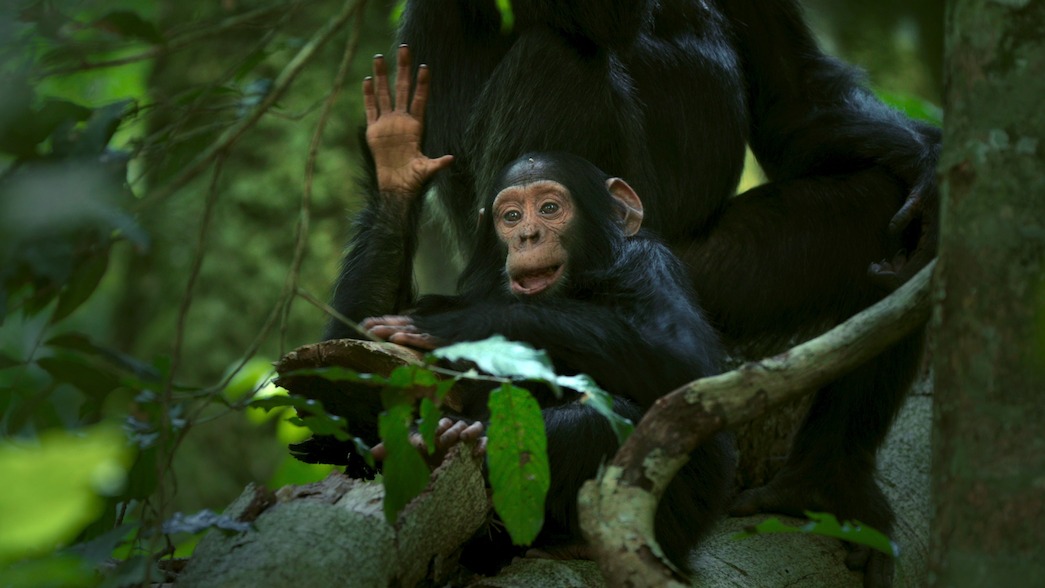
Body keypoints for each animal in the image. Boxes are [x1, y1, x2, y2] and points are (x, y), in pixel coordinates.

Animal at [321, 49, 739, 576]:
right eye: (512, 216)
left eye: (550, 208)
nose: (526, 236)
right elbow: (346, 343)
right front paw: (396, 158)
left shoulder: (650, 263)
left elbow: (682, 360)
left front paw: (459, 328)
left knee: (595, 422)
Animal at [388, 2, 944, 584]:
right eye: (516, 215)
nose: (527, 233)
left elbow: (794, 93)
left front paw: (932, 167)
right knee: (559, 53)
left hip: (711, 278)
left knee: (878, 211)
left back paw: (822, 488)